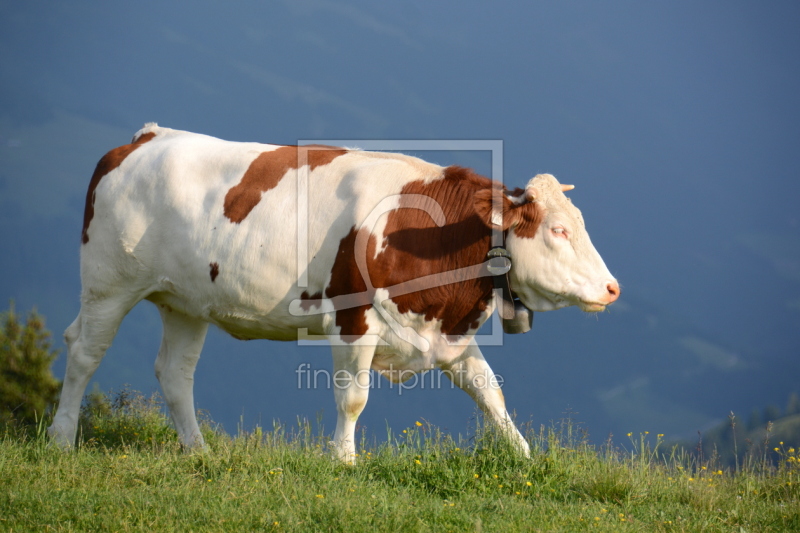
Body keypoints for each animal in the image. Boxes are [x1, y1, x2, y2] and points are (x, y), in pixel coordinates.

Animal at [48, 123, 620, 458]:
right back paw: (59, 439)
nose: (613, 288)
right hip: (107, 283)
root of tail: (147, 137)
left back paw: (200, 452)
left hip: (185, 301)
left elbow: (490, 393)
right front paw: (344, 461)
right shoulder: (355, 320)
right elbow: (353, 397)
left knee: (175, 373)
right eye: (558, 230)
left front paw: (524, 458)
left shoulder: (448, 334)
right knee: (85, 352)